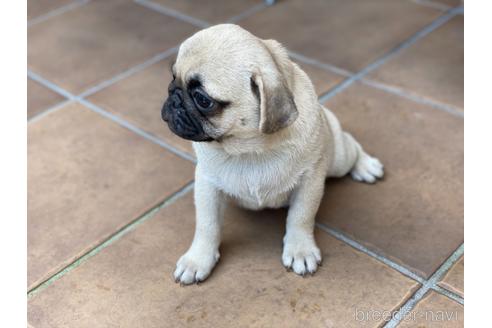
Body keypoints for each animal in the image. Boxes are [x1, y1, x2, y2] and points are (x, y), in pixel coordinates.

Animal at [161, 24, 384, 284]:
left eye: (203, 99)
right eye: (172, 76)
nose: (173, 97)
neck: (248, 149)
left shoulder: (309, 183)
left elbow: (300, 217)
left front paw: (300, 250)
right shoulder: (207, 184)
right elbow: (207, 225)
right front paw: (198, 259)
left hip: (338, 159)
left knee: (351, 145)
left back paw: (366, 166)